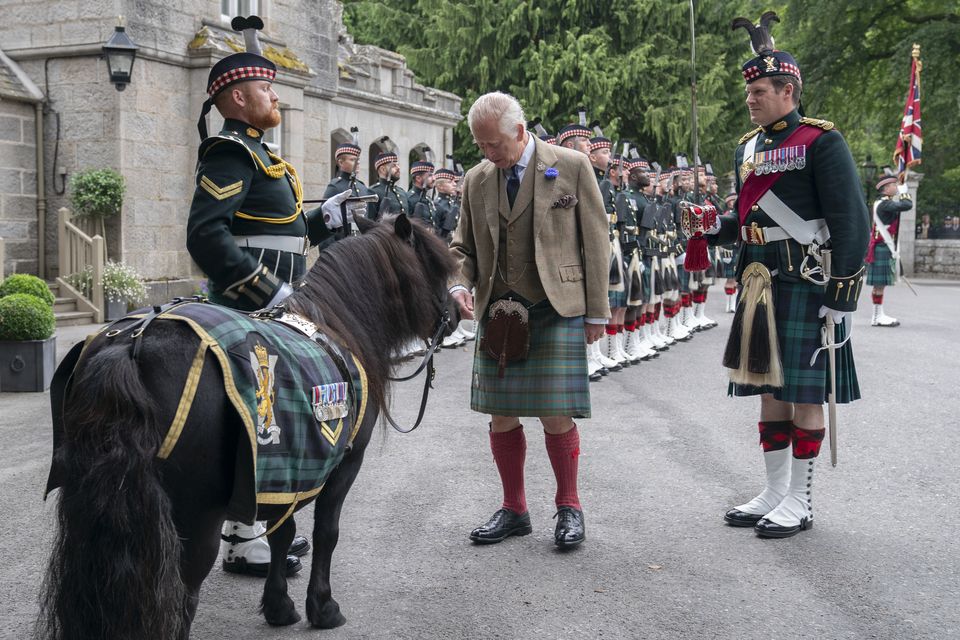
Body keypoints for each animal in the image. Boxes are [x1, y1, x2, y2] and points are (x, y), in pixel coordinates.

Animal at [36, 215, 454, 640]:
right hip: (194, 521)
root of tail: (131, 344)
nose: (456, 311)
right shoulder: (343, 466)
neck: (335, 324)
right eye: (436, 266)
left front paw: (279, 605)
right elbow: (327, 532)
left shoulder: (286, 471)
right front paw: (323, 607)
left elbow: (283, 531)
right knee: (182, 600)